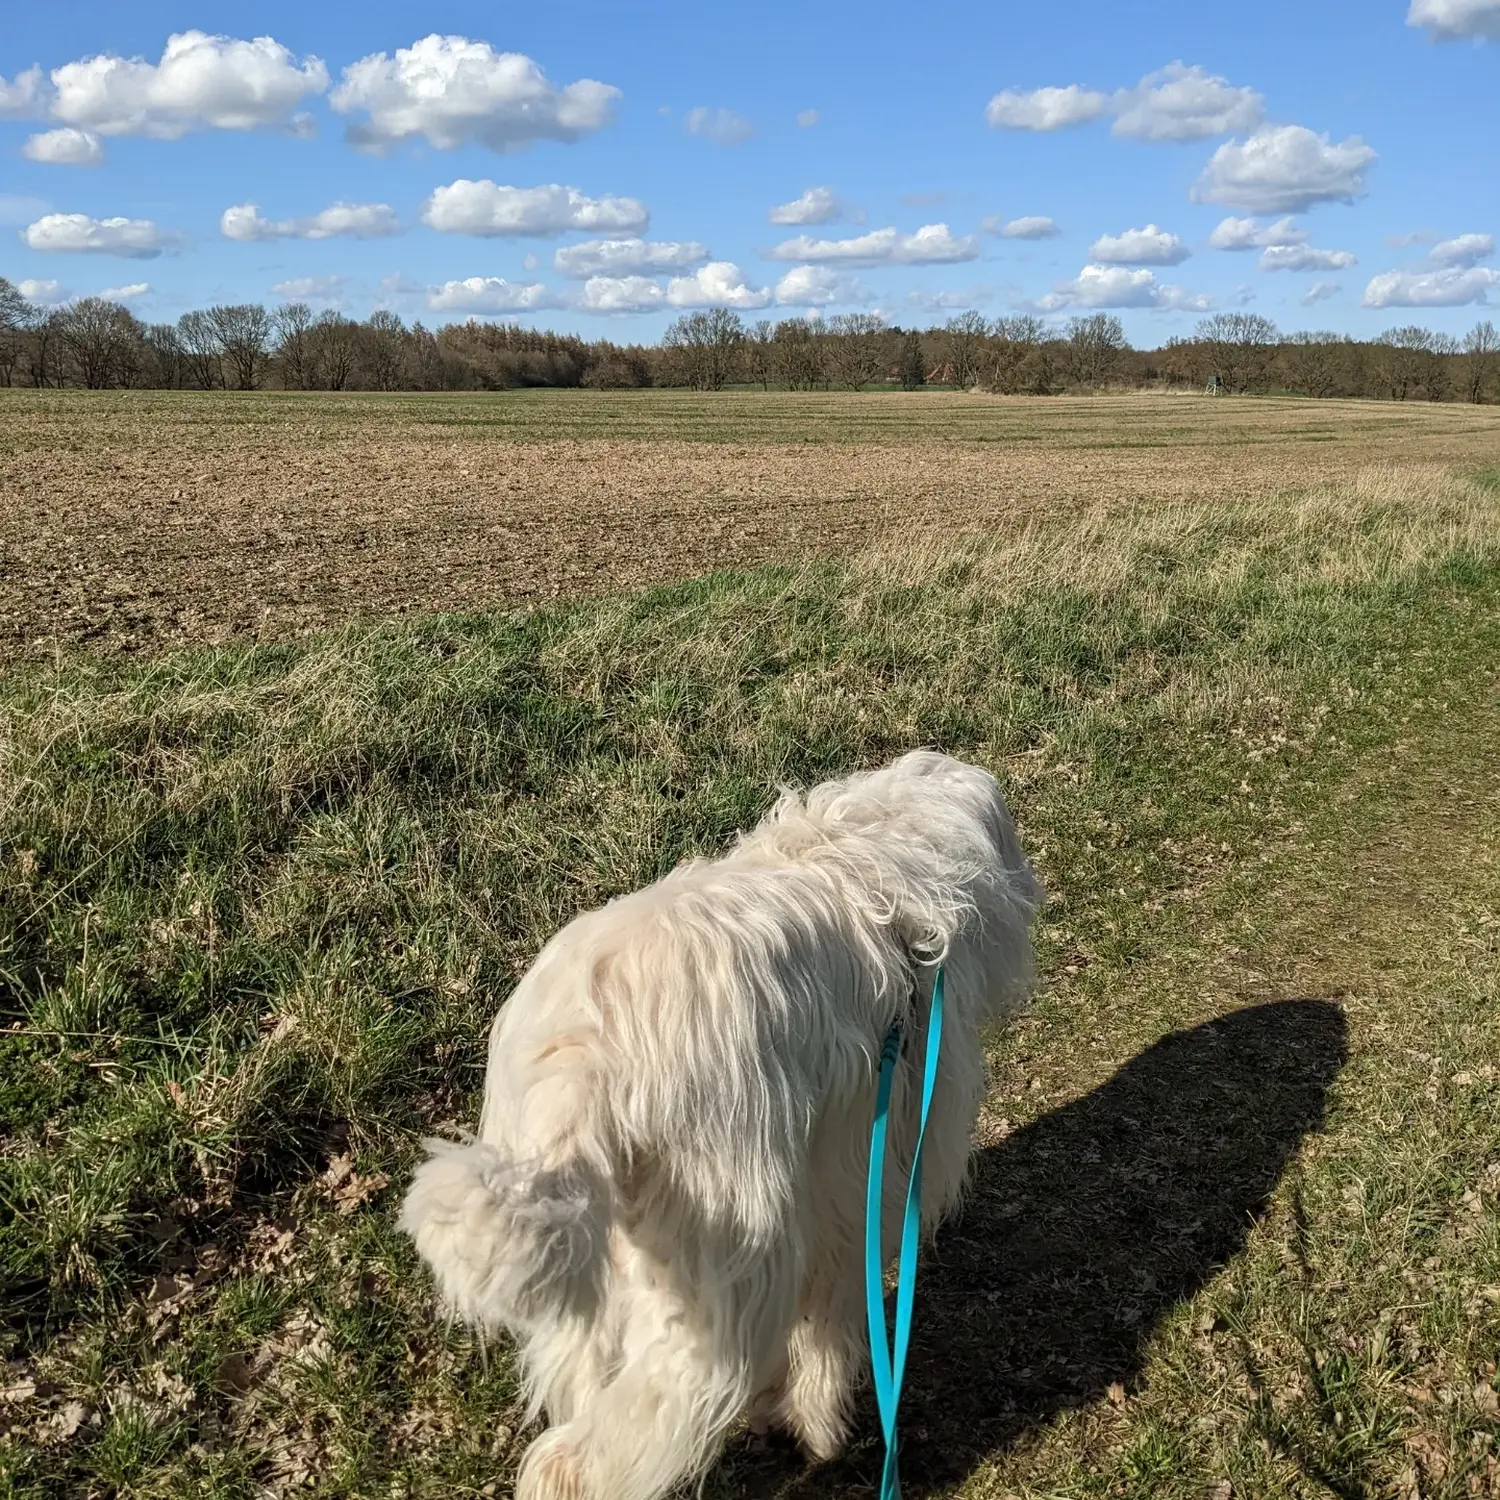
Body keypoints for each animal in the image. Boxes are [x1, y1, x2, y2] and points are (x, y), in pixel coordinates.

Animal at [399, 750, 1044, 1500]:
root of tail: (588, 1055)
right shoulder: (869, 1165)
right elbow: (830, 1313)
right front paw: (816, 1421)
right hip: (727, 1265)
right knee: (635, 1422)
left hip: (595, 1270)